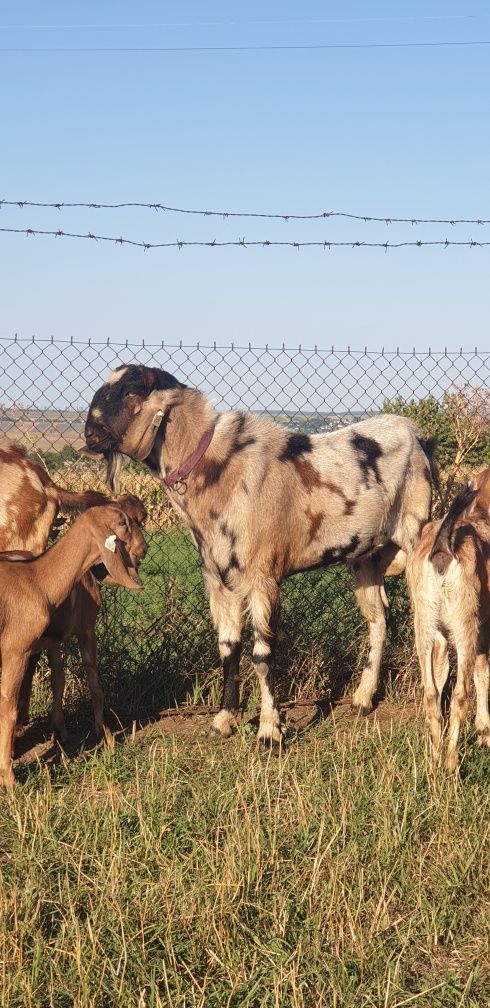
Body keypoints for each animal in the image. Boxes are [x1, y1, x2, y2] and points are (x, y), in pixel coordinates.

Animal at [0, 504, 145, 786]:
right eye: (123, 523)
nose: (144, 549)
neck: (35, 580)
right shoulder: (16, 650)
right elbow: (9, 708)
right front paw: (10, 780)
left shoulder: (48, 643)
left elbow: (58, 679)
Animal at [85, 366, 435, 745]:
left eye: (131, 391)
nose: (89, 435)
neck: (218, 470)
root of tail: (418, 434)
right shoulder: (219, 579)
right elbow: (228, 649)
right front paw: (223, 721)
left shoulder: (262, 576)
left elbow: (262, 654)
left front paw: (270, 731)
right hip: (366, 555)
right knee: (378, 618)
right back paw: (362, 699)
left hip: (416, 536)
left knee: (425, 622)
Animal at [407, 467, 490, 766]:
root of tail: (444, 546)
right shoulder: (482, 626)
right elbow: (482, 672)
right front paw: (484, 733)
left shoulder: (445, 634)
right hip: (464, 625)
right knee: (460, 695)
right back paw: (452, 764)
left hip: (424, 623)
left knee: (431, 693)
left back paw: (434, 760)